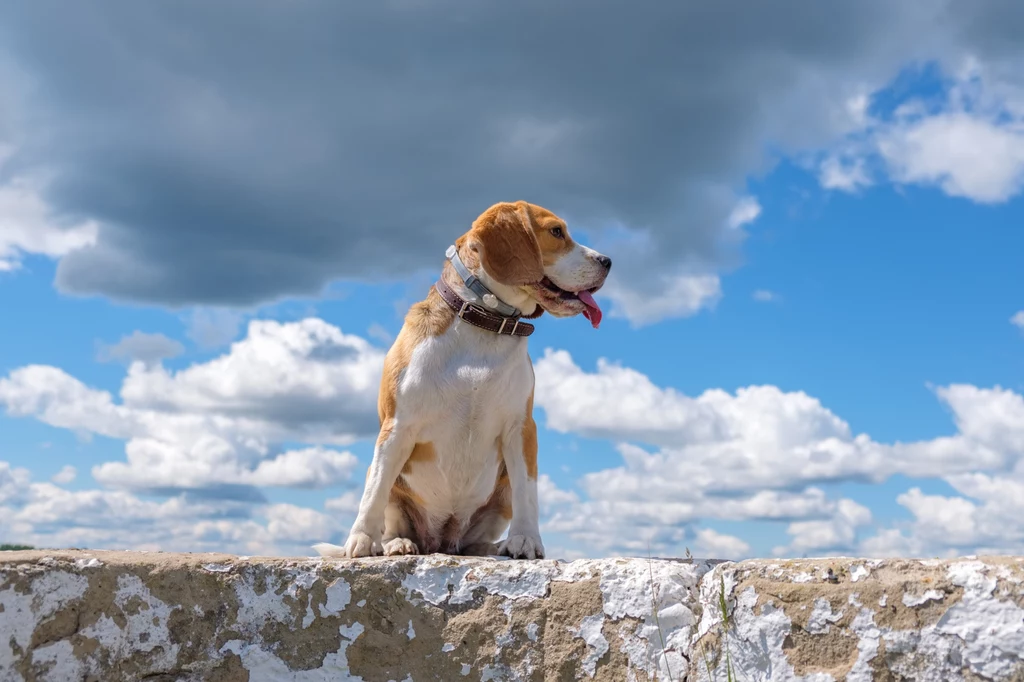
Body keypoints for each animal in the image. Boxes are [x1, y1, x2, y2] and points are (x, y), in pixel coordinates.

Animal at [313, 201, 606, 557]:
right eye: (556, 232)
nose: (607, 261)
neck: (483, 323)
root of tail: (440, 541)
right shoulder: (397, 427)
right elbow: (374, 494)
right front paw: (362, 539)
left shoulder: (521, 428)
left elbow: (528, 493)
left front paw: (525, 539)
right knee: (388, 508)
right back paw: (397, 543)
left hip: (500, 494)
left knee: (478, 537)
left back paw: (492, 547)